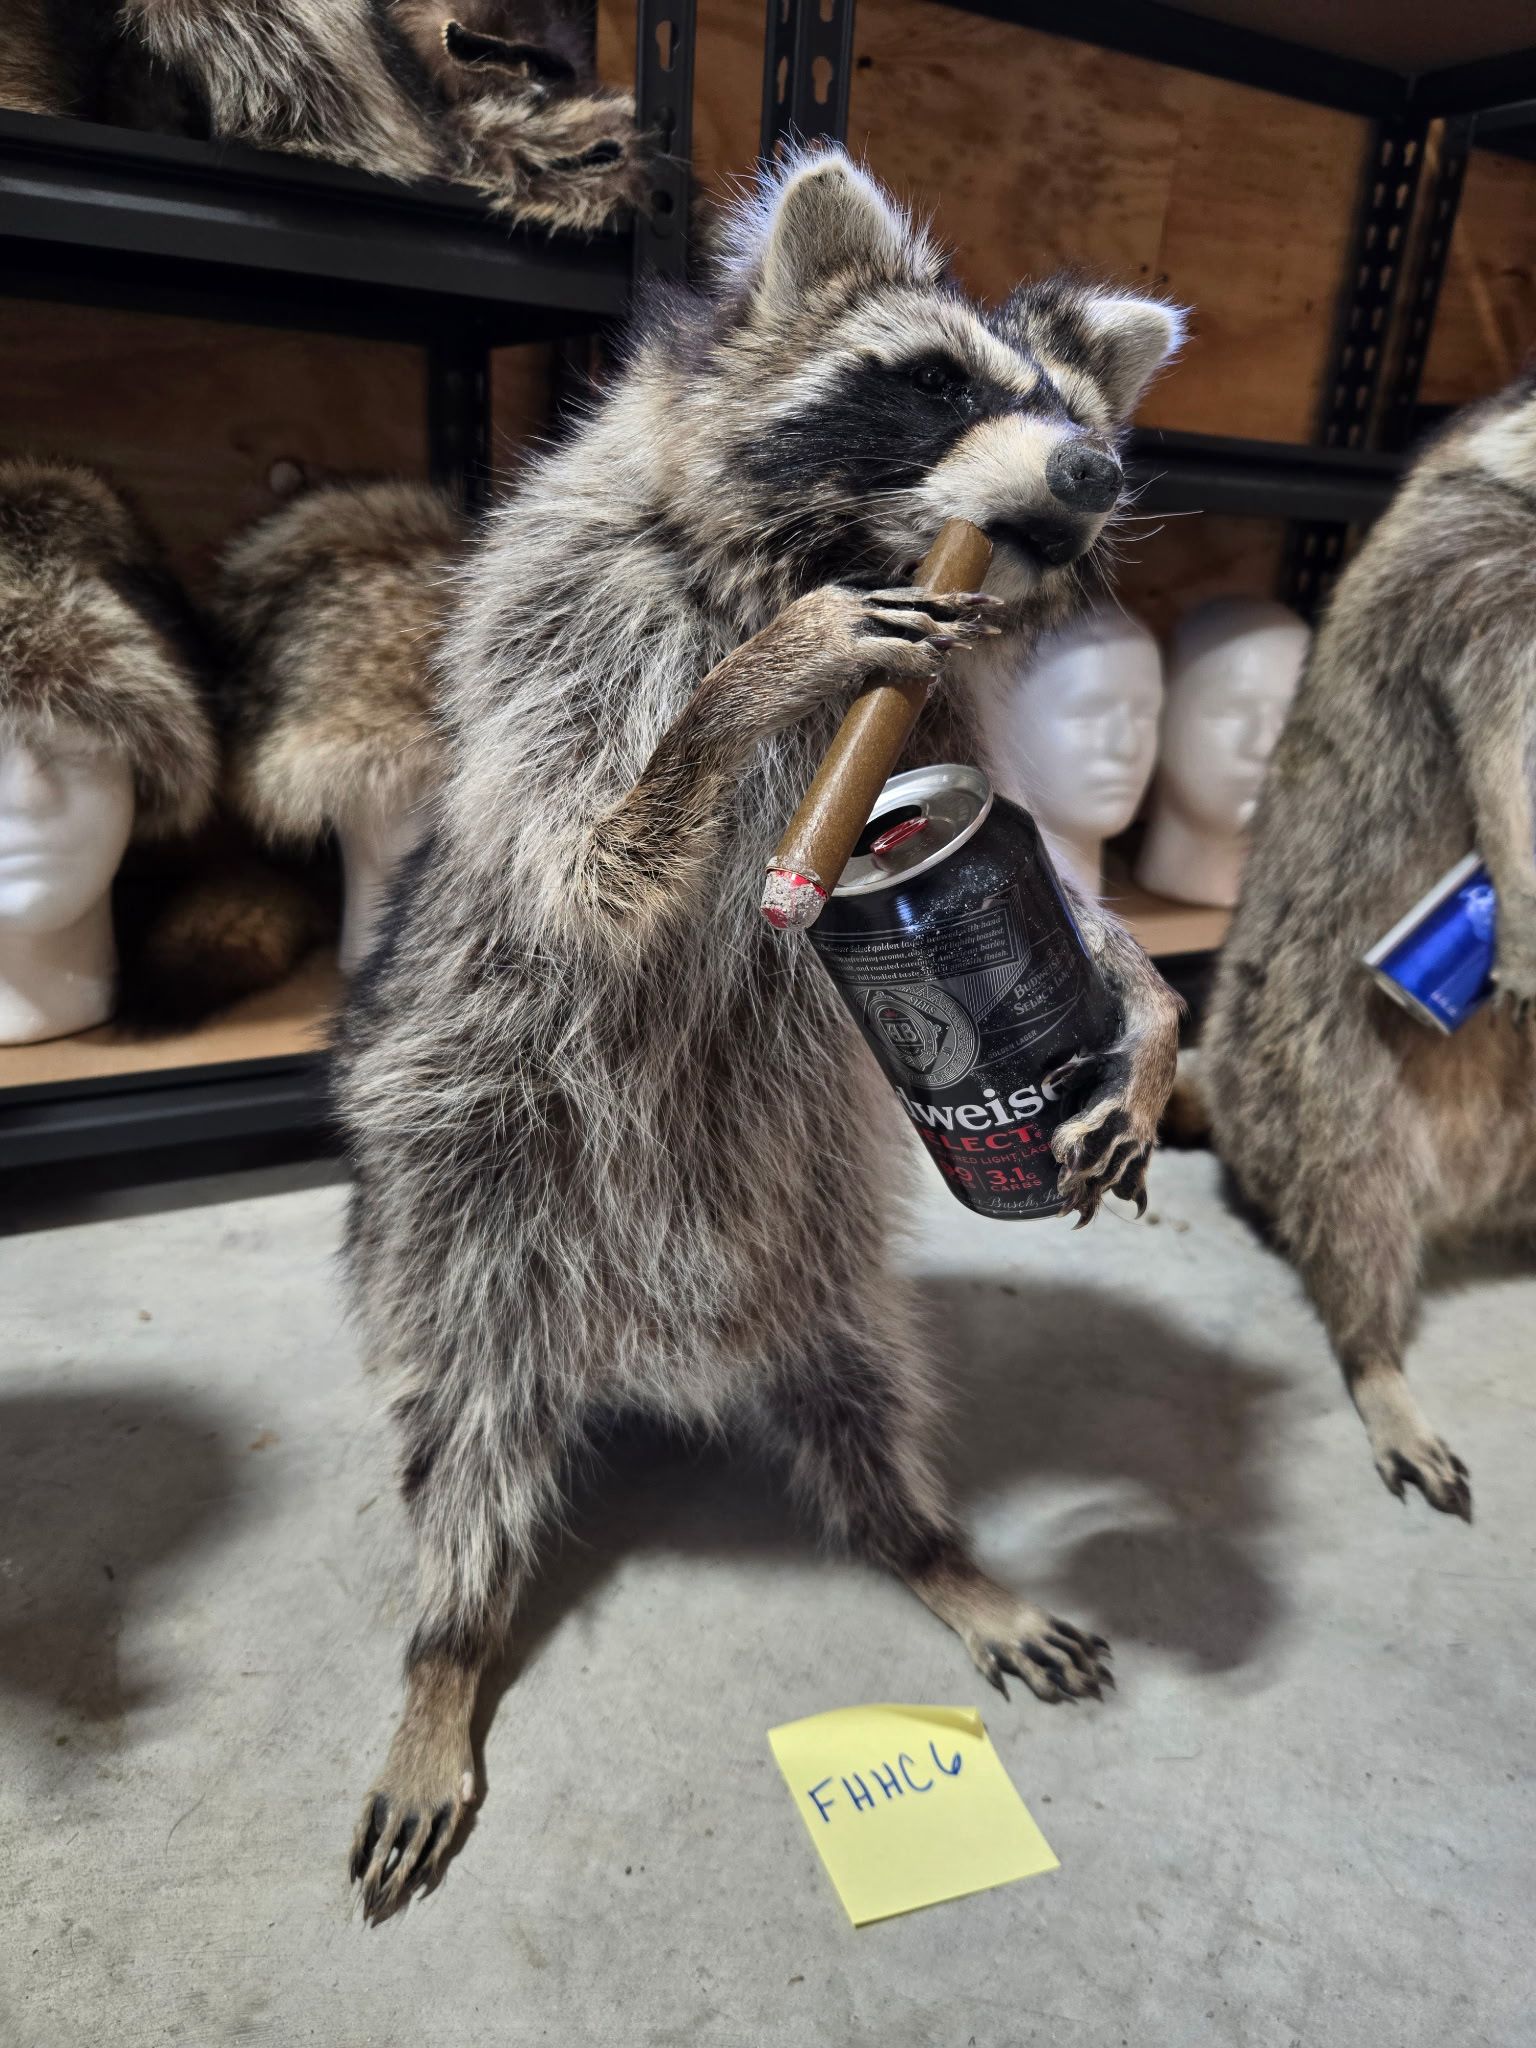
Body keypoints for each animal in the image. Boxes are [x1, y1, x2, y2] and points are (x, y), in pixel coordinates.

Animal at [339, 148, 1184, 1919]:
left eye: (1077, 408)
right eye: (936, 384)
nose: (1095, 469)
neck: (838, 546)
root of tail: (639, 1352)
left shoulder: (952, 733)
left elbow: (1046, 880)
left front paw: (1141, 1013)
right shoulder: (572, 638)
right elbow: (588, 871)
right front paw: (751, 681)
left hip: (814, 1261)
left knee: (870, 1398)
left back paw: (935, 1550)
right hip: (465, 1211)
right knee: (463, 1438)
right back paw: (446, 1646)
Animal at [1201, 371, 1536, 1526]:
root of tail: (1469, 1203)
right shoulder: (1475, 589)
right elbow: (1503, 758)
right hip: (1307, 1068)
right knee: (1350, 1207)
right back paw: (1375, 1359)